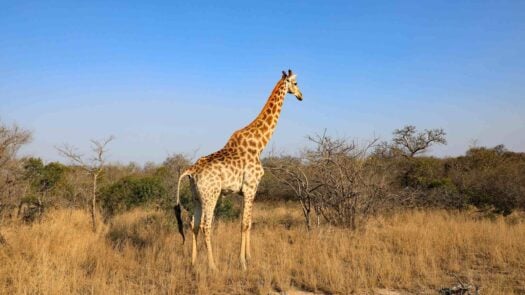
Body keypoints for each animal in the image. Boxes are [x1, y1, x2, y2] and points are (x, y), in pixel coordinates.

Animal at [174, 69, 300, 270]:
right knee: (206, 226)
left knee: (193, 223)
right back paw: (212, 266)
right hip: (211, 195)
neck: (259, 144)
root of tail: (191, 171)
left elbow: (249, 222)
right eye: (295, 83)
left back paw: (193, 263)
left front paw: (249, 257)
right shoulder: (250, 188)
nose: (301, 96)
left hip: (196, 197)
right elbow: (244, 224)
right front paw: (243, 262)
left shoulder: (249, 191)